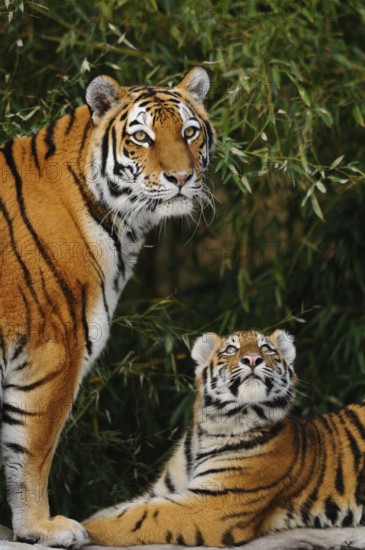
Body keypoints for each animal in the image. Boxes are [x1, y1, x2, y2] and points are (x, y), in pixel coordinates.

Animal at [0, 67, 215, 548]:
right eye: (142, 136)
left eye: (190, 132)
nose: (180, 177)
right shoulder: (53, 354)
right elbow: (31, 450)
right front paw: (41, 527)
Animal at [83, 330, 365, 548]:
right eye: (231, 349)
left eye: (266, 348)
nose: (253, 359)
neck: (215, 427)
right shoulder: (164, 491)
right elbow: (120, 508)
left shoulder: (214, 503)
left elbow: (134, 517)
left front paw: (84, 529)